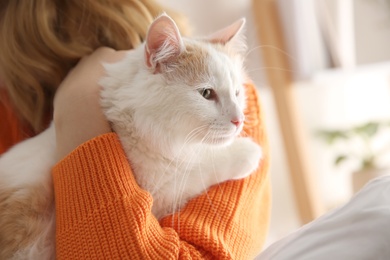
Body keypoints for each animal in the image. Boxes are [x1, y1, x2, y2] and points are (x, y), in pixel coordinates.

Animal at [0, 14, 262, 260]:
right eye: (207, 93)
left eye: (237, 93)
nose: (239, 120)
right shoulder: (156, 188)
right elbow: (198, 167)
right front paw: (247, 152)